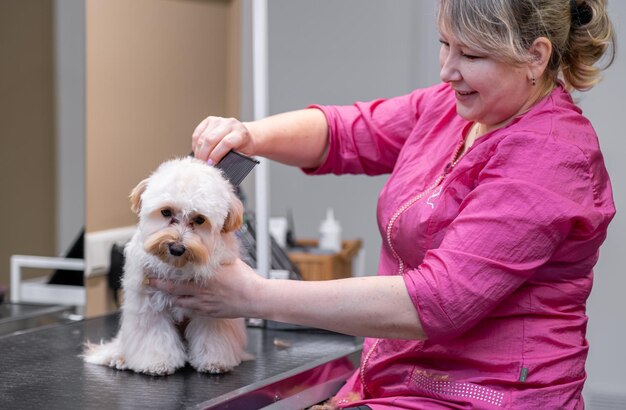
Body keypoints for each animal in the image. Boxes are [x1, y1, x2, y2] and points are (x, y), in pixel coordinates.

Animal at [83, 157, 251, 374]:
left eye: (200, 219)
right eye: (166, 212)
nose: (177, 248)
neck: (177, 266)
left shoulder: (214, 310)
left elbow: (212, 336)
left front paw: (214, 361)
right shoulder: (148, 304)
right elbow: (154, 336)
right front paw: (157, 363)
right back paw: (119, 358)